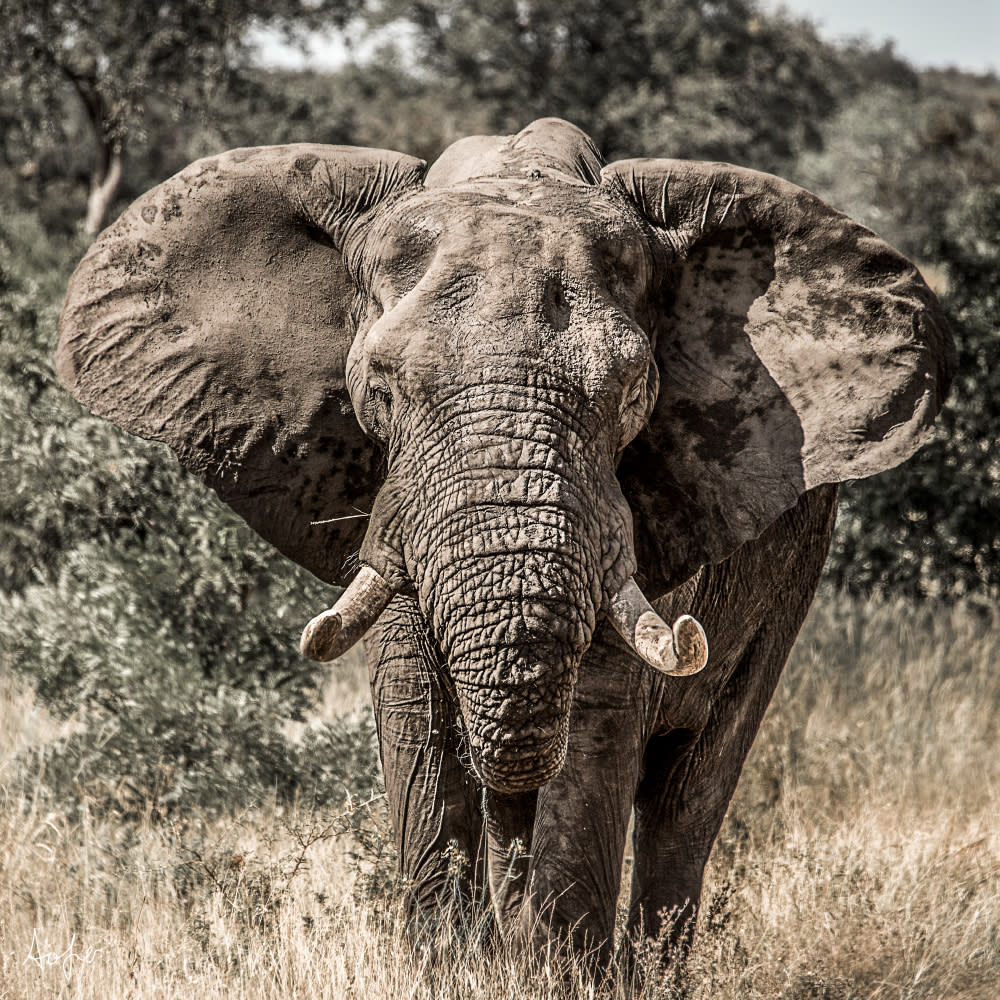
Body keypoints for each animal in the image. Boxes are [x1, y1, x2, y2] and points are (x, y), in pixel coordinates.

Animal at [54, 117, 952, 968]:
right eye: (381, 391)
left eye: (634, 393)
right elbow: (417, 713)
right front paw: (455, 967)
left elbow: (595, 725)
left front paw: (553, 973)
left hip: (794, 569)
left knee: (690, 796)